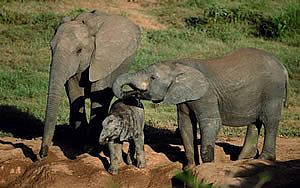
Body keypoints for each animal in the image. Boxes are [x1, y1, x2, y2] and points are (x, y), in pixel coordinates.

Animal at [39, 9, 141, 157]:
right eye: (51, 48)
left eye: (79, 50)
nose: (43, 153)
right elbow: (74, 92)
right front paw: (78, 143)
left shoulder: (103, 60)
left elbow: (98, 94)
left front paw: (90, 148)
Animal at [112, 47, 288, 168]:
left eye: (153, 77)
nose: (127, 95)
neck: (180, 65)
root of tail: (283, 68)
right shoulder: (183, 98)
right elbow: (186, 125)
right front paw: (190, 168)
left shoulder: (206, 95)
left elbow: (211, 123)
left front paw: (208, 166)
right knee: (255, 122)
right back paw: (242, 159)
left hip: (273, 91)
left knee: (269, 121)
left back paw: (264, 159)